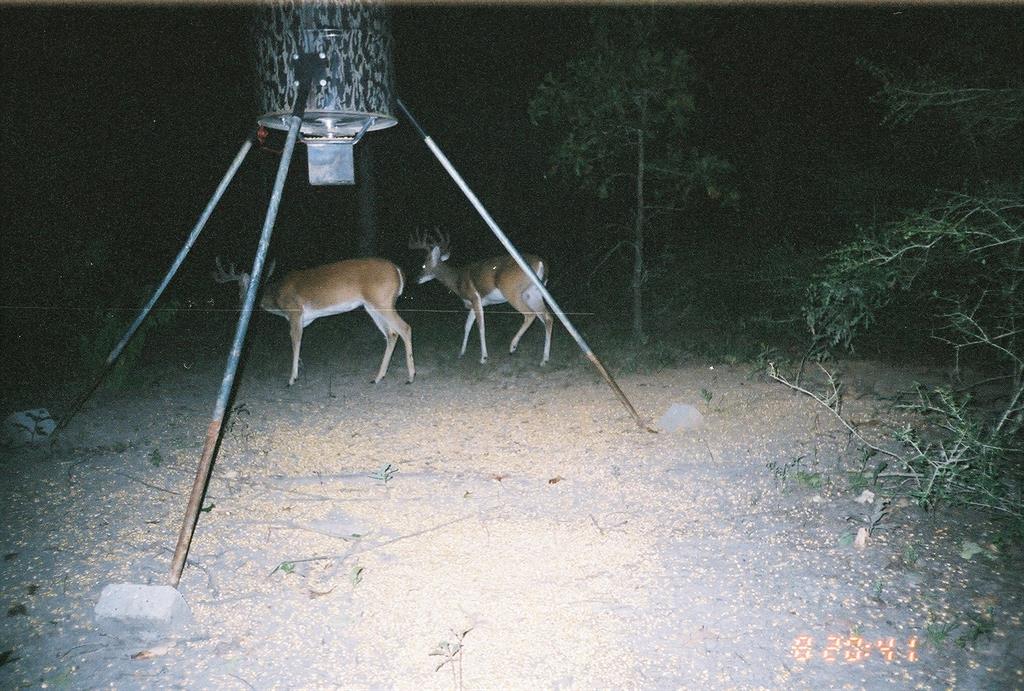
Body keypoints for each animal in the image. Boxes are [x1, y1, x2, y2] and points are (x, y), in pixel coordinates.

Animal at [214, 256, 413, 386]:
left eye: (240, 290)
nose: (238, 306)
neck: (277, 298)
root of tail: (397, 270)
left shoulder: (294, 312)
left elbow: (295, 341)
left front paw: (292, 378)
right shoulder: (304, 319)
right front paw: (299, 369)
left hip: (382, 301)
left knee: (405, 328)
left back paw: (410, 377)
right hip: (371, 306)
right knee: (391, 334)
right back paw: (378, 377)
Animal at [407, 229, 552, 364]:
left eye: (423, 265)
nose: (416, 279)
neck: (457, 281)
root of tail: (541, 262)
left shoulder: (474, 297)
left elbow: (480, 326)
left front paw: (483, 357)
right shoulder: (475, 303)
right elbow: (467, 326)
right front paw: (461, 353)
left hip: (512, 291)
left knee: (530, 315)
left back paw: (513, 346)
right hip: (532, 293)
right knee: (547, 318)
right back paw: (544, 359)